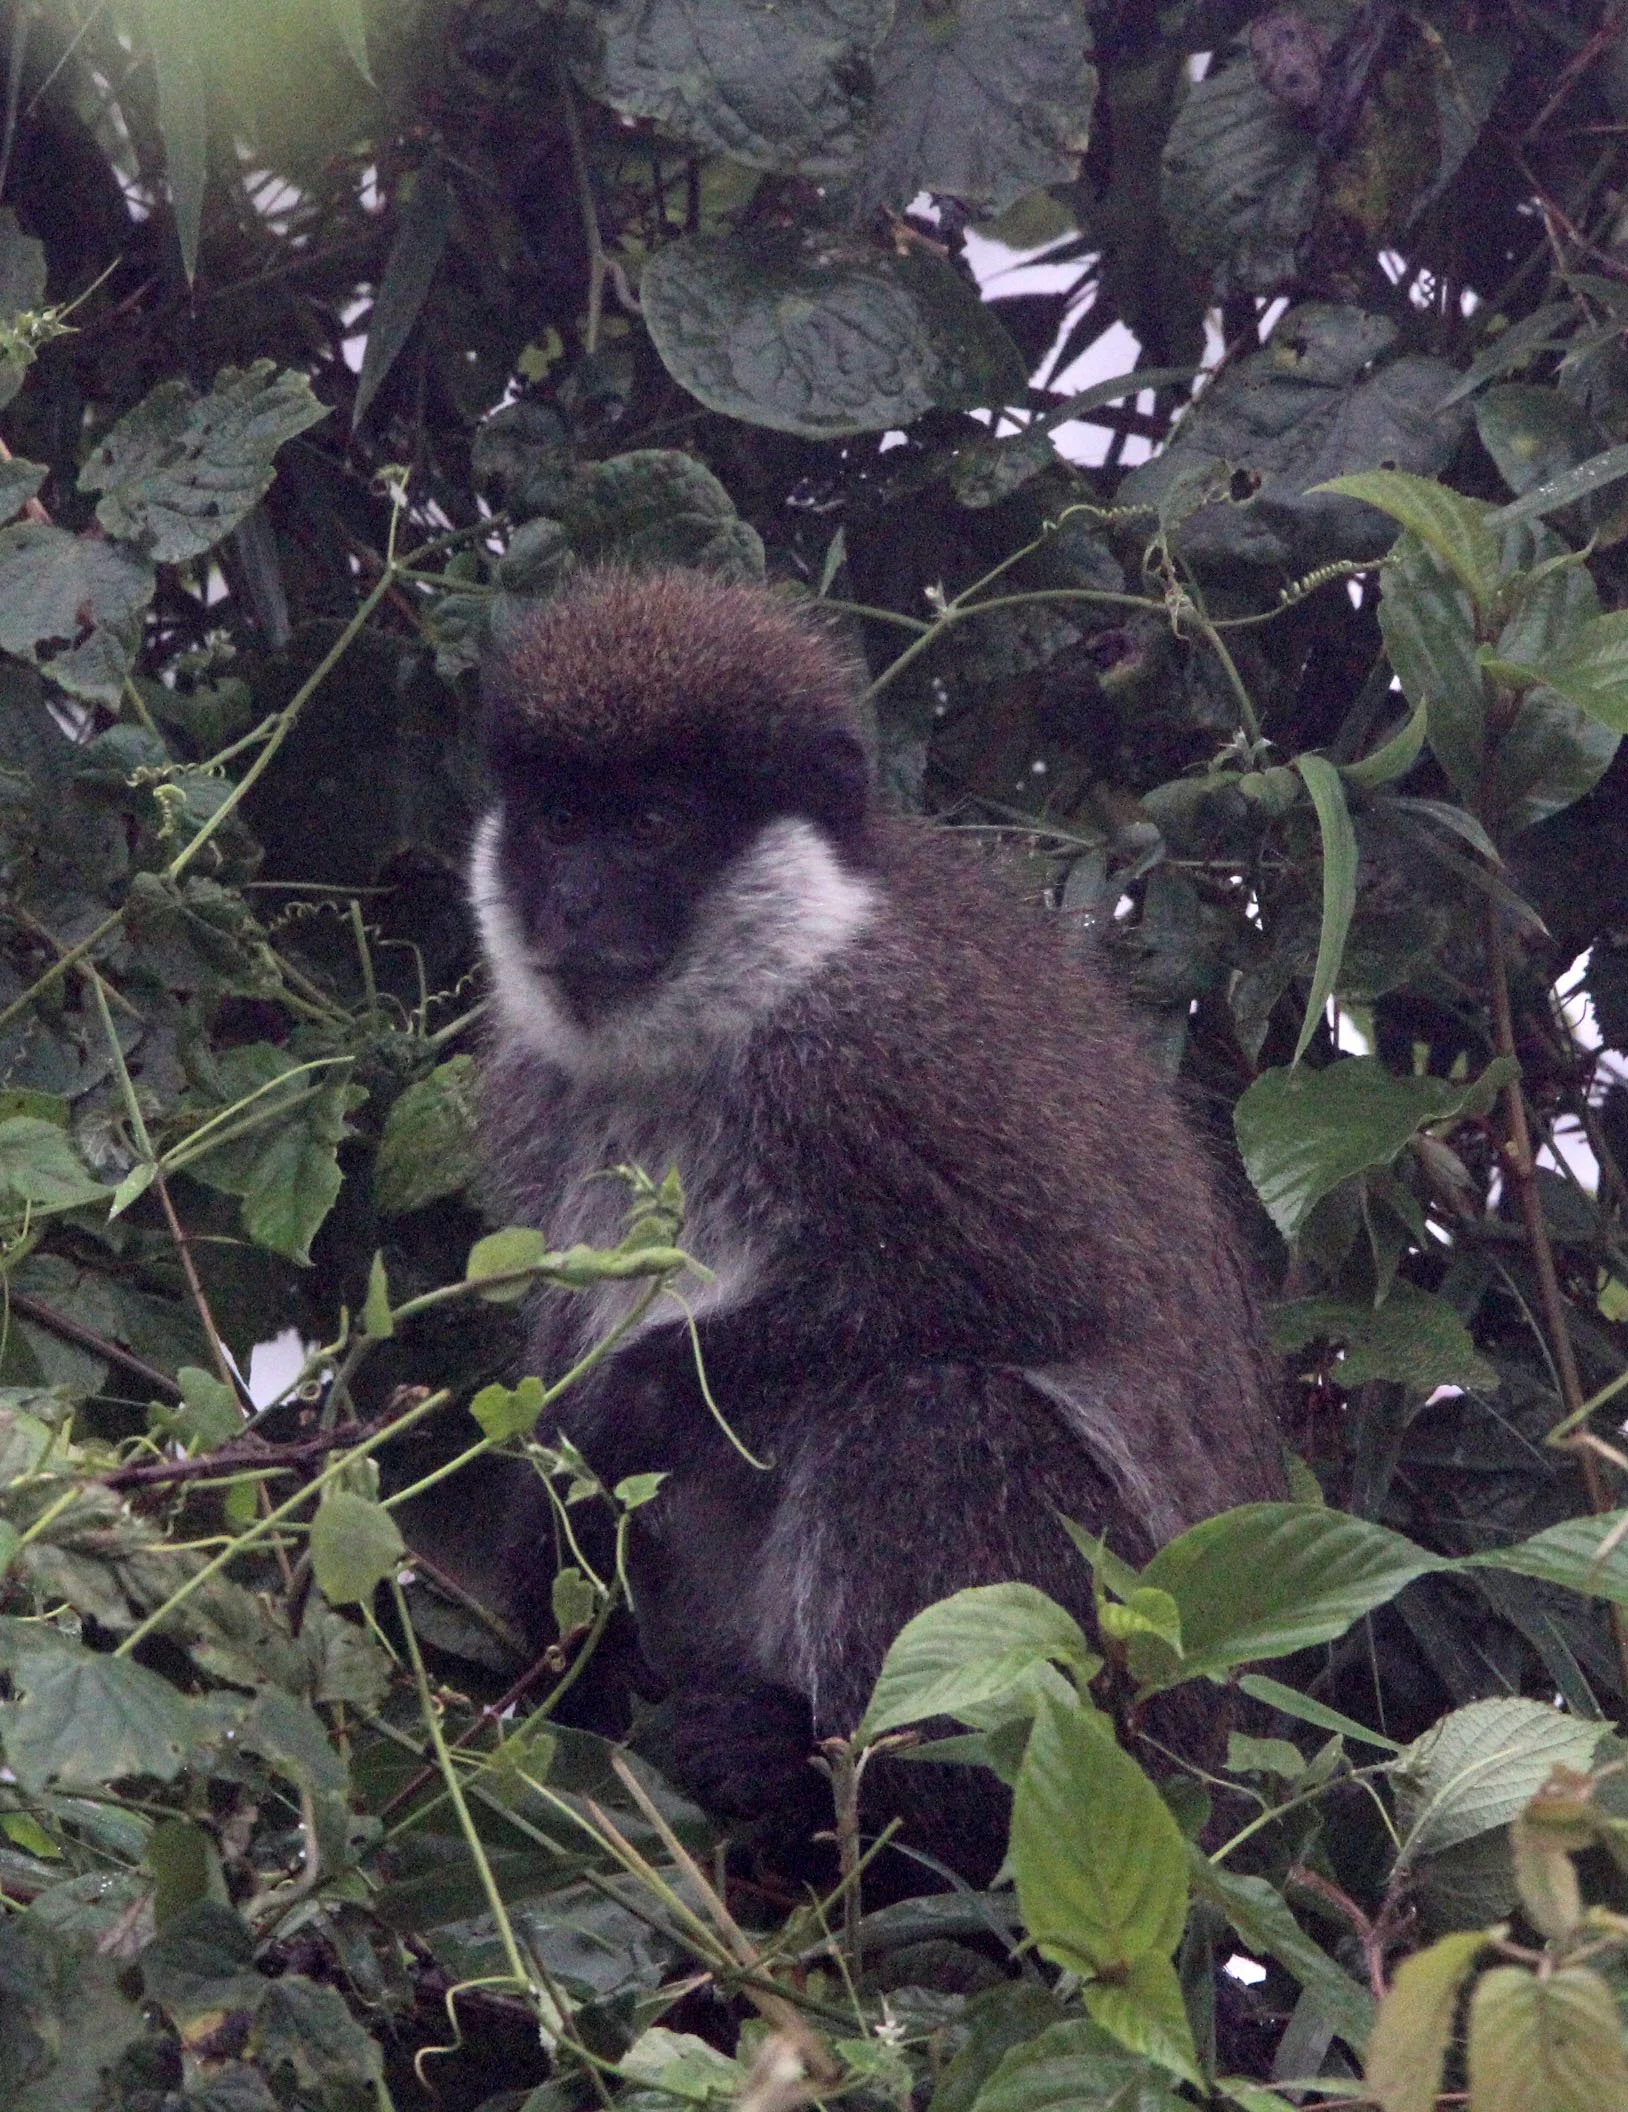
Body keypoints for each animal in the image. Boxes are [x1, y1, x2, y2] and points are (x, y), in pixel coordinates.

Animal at [467, 567, 1284, 1879]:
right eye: (556, 821)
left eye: (648, 825)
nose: (573, 903)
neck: (755, 985)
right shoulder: (541, 1084)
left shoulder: (878, 1051)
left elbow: (1041, 1292)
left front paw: (640, 1391)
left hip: (1116, 1679)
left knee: (932, 1415)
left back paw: (861, 1799)